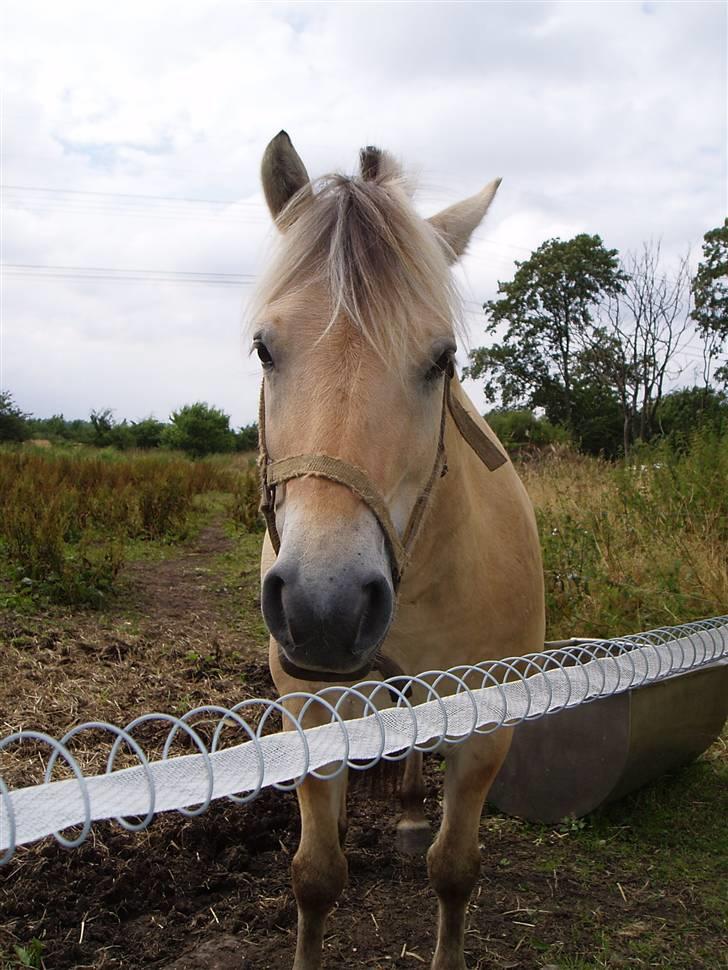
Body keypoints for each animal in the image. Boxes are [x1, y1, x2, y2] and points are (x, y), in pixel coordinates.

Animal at [253, 130, 544, 968]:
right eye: (264, 349)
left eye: (441, 359)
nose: (323, 608)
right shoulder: (309, 706)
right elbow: (316, 873)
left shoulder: (490, 725)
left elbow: (455, 870)